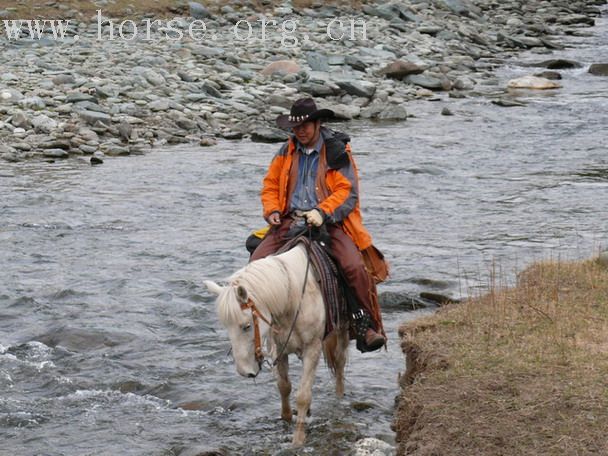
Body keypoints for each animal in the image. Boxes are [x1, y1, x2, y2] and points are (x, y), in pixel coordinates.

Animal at [204, 244, 350, 448]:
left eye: (246, 326)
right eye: (226, 327)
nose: (244, 372)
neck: (293, 297)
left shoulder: (312, 349)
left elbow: (303, 396)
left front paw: (298, 440)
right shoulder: (280, 349)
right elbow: (284, 386)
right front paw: (286, 418)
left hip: (343, 327)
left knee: (340, 361)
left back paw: (339, 397)